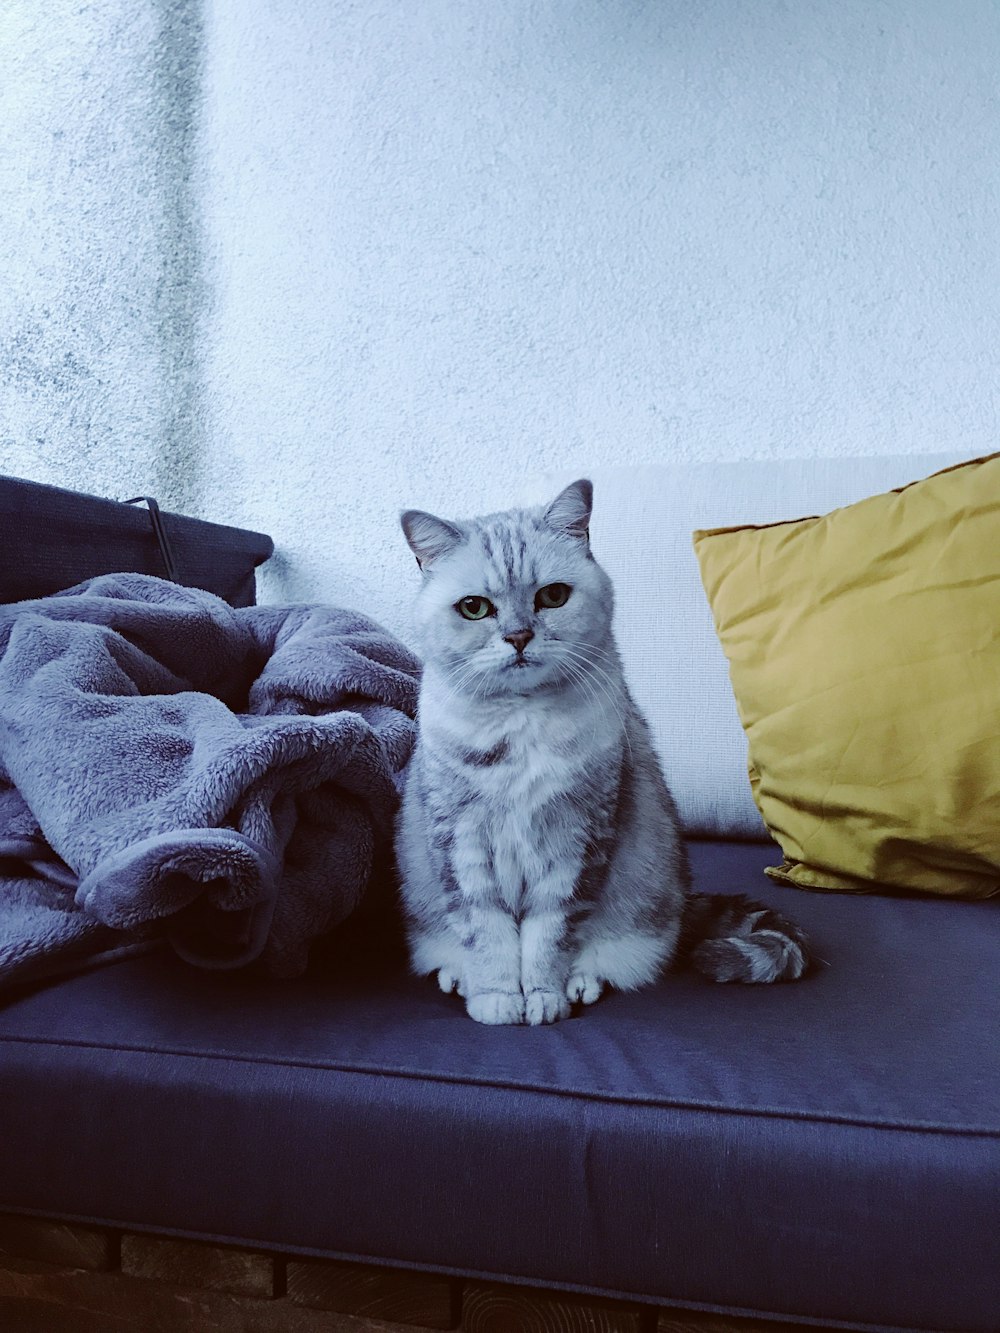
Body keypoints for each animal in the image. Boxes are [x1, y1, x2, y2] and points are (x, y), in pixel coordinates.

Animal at [394, 482, 810, 1029]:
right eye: (474, 608)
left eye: (552, 596)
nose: (519, 636)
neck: (520, 724)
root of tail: (685, 899)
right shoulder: (461, 841)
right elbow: (487, 934)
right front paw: (498, 997)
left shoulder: (578, 838)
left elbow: (549, 936)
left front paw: (543, 996)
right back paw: (457, 977)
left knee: (609, 960)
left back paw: (581, 983)